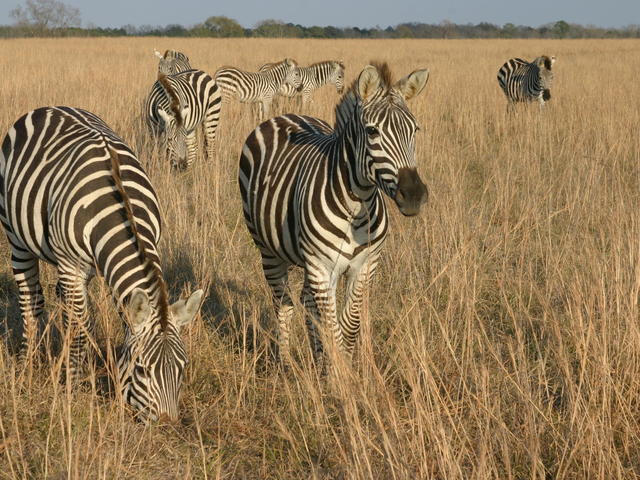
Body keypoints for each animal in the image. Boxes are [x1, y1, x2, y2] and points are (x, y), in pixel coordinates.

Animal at [0, 107, 204, 422]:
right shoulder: (71, 265)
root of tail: (50, 108)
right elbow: (79, 330)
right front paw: (71, 386)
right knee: (31, 301)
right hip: (16, 238)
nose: (167, 424)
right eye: (142, 369)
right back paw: (26, 363)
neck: (119, 209)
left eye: (183, 366)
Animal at [240, 62, 430, 364]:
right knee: (283, 304)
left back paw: (316, 358)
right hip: (268, 250)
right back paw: (284, 362)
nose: (413, 196)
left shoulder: (365, 267)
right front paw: (338, 373)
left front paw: (342, 368)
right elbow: (333, 330)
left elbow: (348, 327)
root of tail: (284, 115)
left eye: (415, 130)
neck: (357, 205)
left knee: (306, 303)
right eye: (372, 132)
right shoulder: (322, 267)